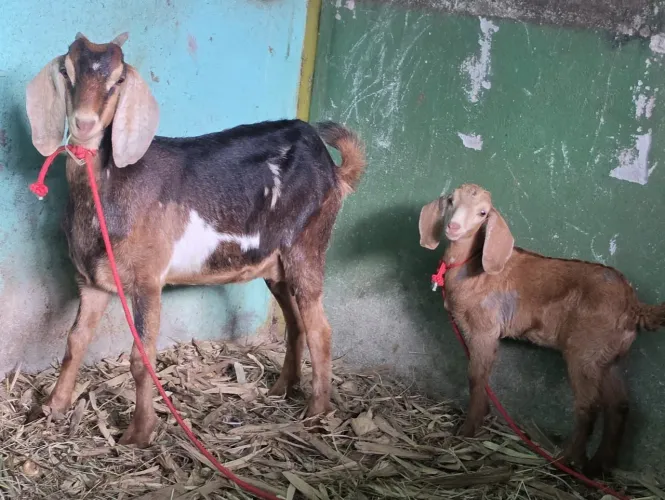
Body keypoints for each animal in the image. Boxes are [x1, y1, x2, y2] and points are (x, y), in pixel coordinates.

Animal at [25, 32, 366, 447]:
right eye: (66, 71)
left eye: (119, 79)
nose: (85, 123)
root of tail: (333, 170)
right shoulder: (93, 281)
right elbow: (74, 343)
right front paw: (51, 408)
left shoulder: (147, 279)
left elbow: (141, 357)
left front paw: (139, 433)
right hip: (275, 265)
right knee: (296, 323)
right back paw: (282, 389)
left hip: (307, 245)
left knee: (321, 330)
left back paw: (316, 412)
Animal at [419, 183, 665, 477]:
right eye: (451, 201)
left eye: (483, 213)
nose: (453, 227)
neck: (472, 265)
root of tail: (634, 306)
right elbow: (482, 376)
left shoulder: (484, 329)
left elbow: (475, 377)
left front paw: (468, 429)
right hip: (607, 356)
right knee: (619, 406)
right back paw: (598, 466)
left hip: (584, 351)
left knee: (588, 407)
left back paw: (567, 461)